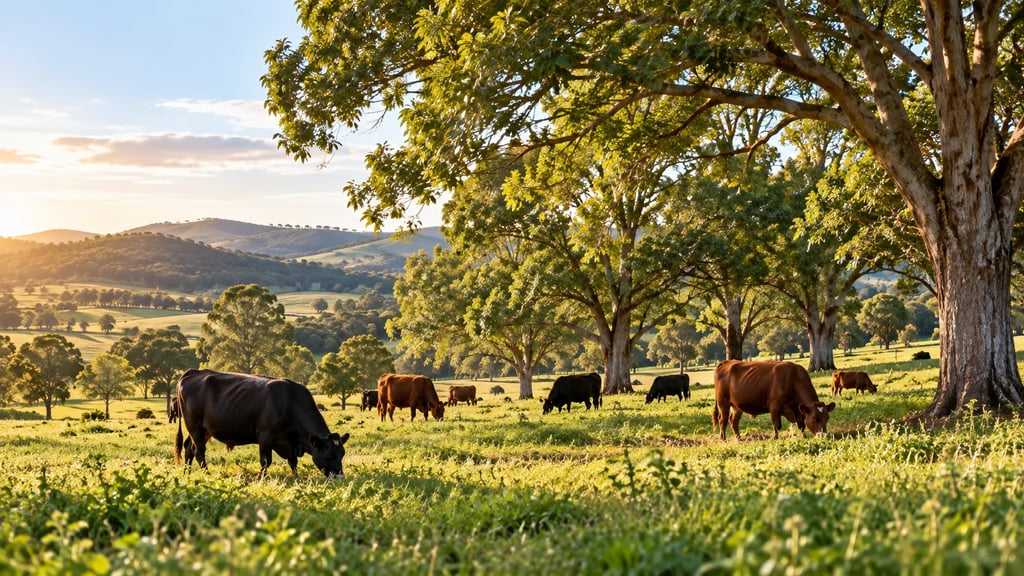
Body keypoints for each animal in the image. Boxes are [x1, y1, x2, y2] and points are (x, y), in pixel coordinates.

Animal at [173, 369, 350, 478]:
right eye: (329, 455)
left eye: (342, 454)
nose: (340, 477)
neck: (290, 402)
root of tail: (194, 372)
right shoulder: (266, 436)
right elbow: (266, 461)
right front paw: (261, 479)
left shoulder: (290, 442)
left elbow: (293, 461)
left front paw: (296, 478)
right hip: (194, 425)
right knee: (198, 451)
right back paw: (207, 473)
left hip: (205, 430)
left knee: (189, 448)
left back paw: (187, 474)